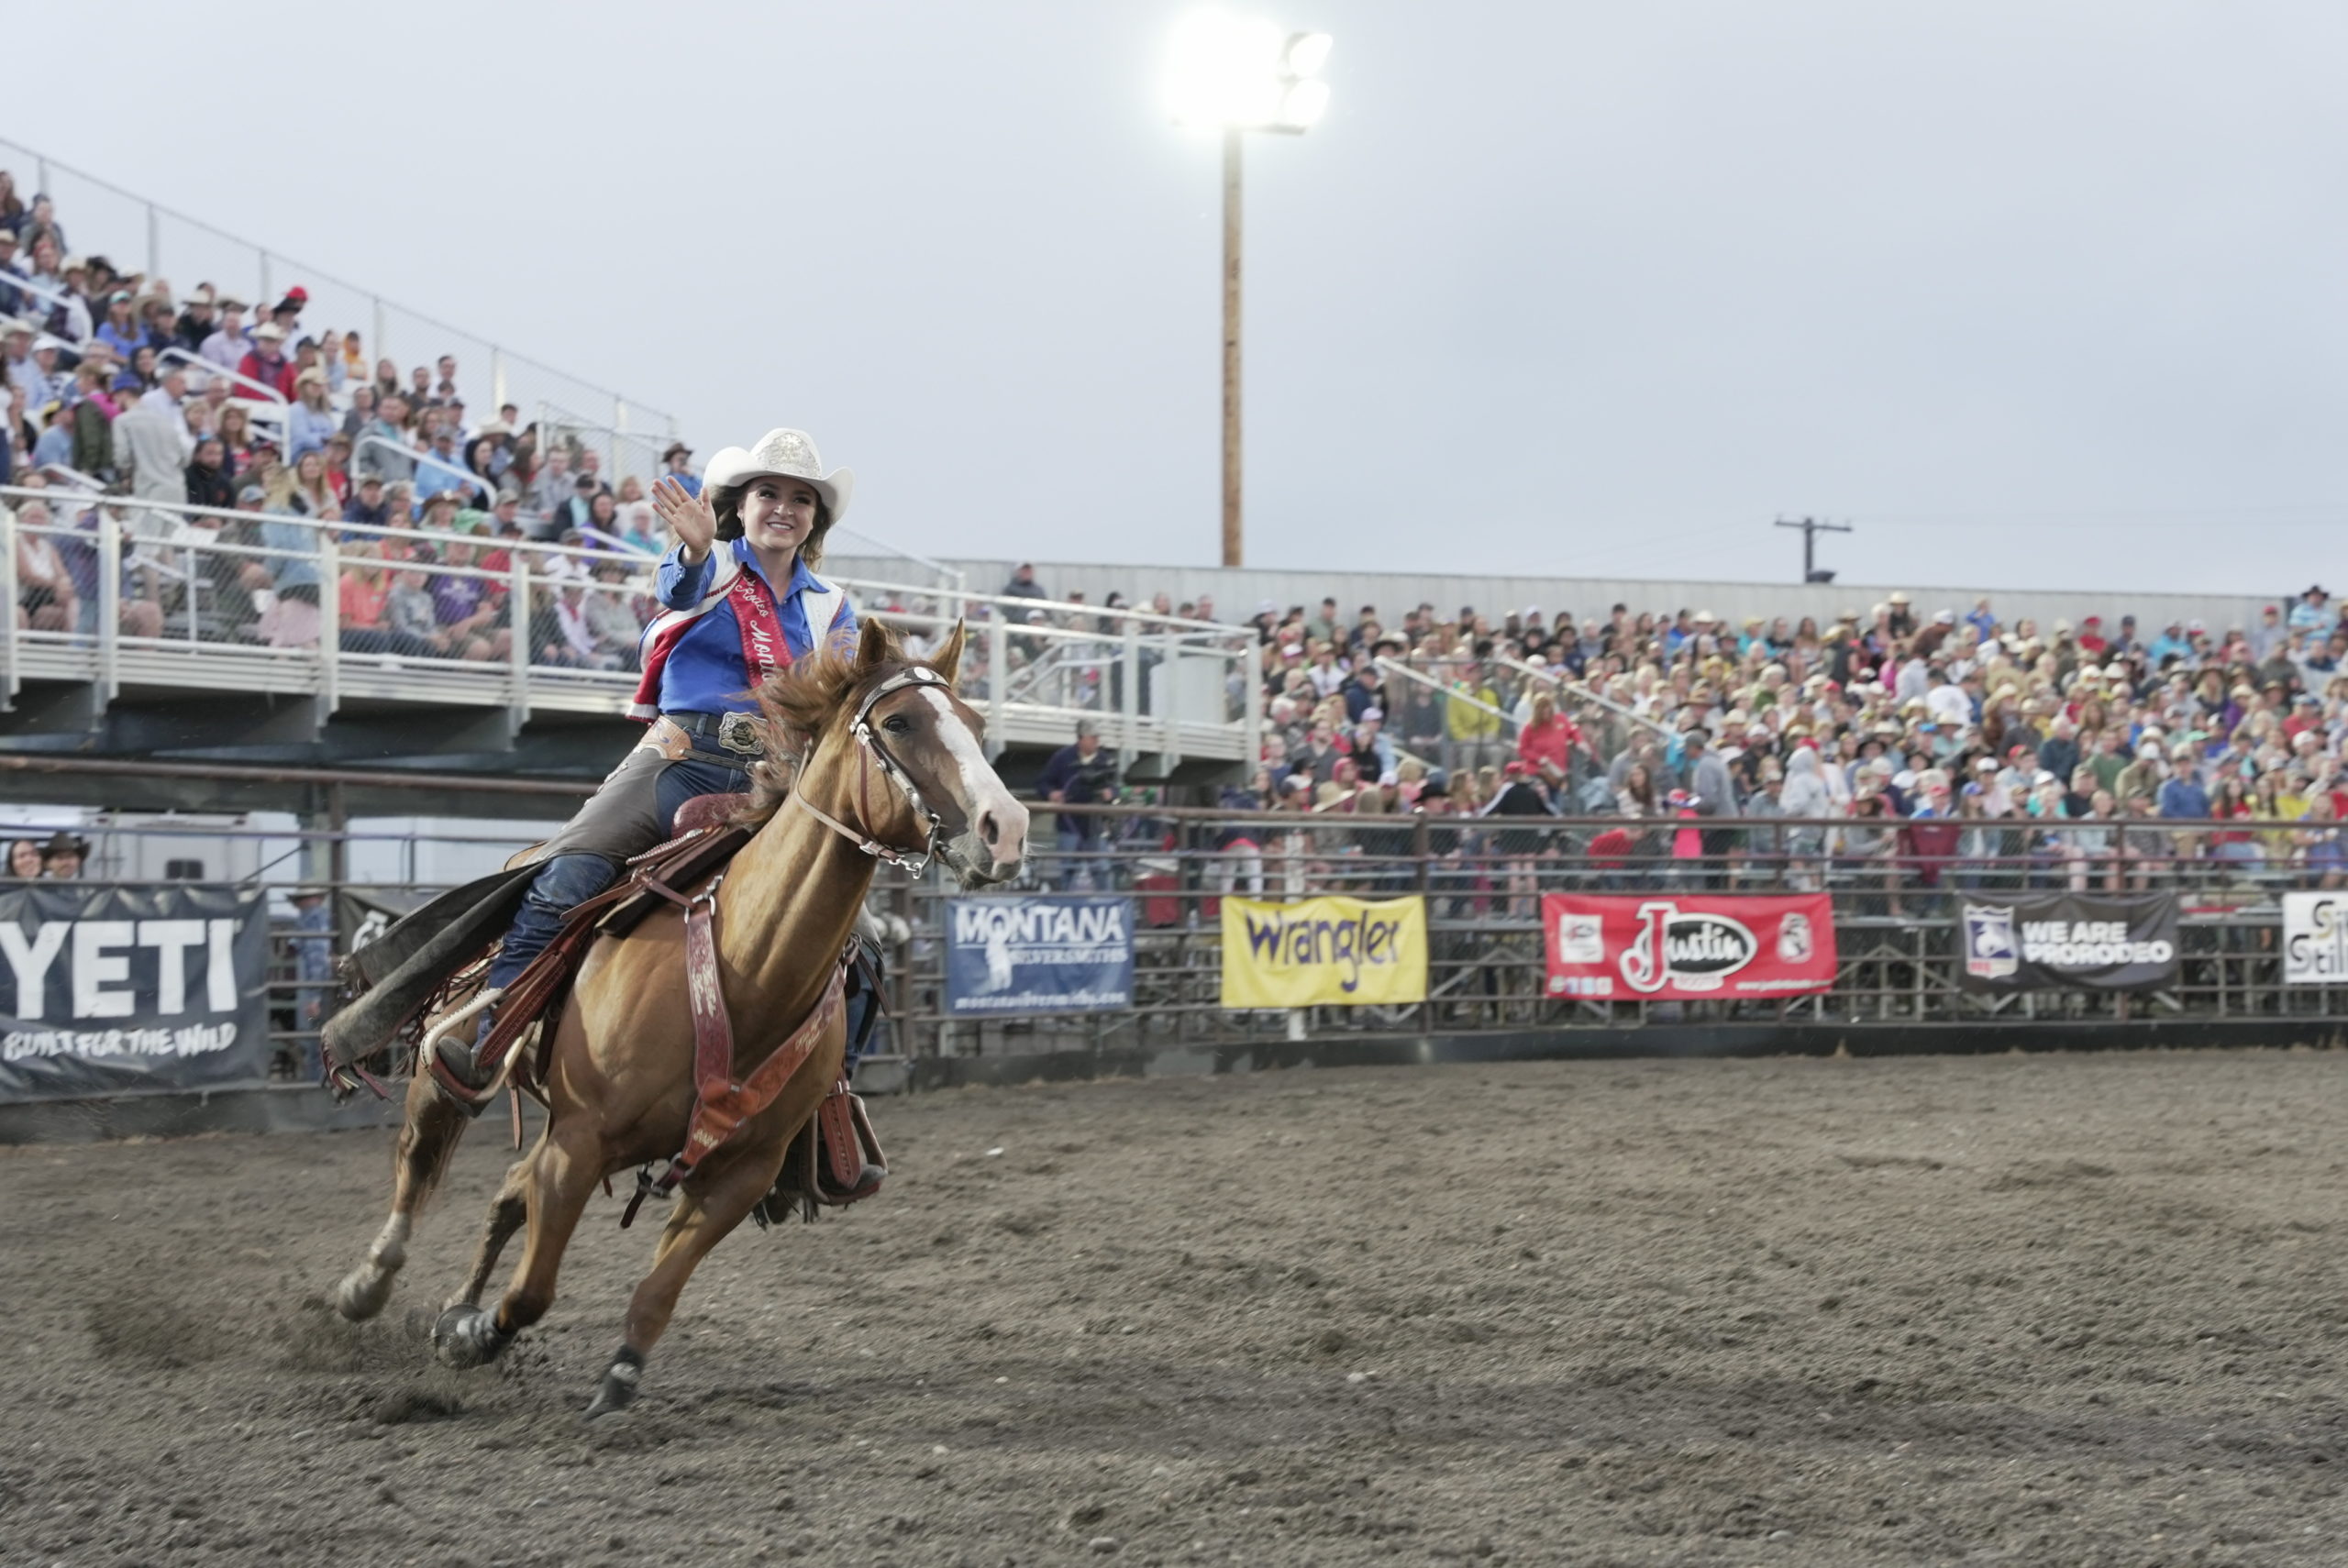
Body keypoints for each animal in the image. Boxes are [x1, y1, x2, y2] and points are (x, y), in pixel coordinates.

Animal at [330, 619, 1028, 1418]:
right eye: (899, 723)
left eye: (976, 726)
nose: (1007, 829)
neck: (744, 965)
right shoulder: (579, 1144)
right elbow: (534, 1289)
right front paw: (472, 1336)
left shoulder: (740, 1172)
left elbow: (657, 1290)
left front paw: (613, 1377)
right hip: (446, 1074)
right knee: (421, 1161)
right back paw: (367, 1286)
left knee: (508, 1192)